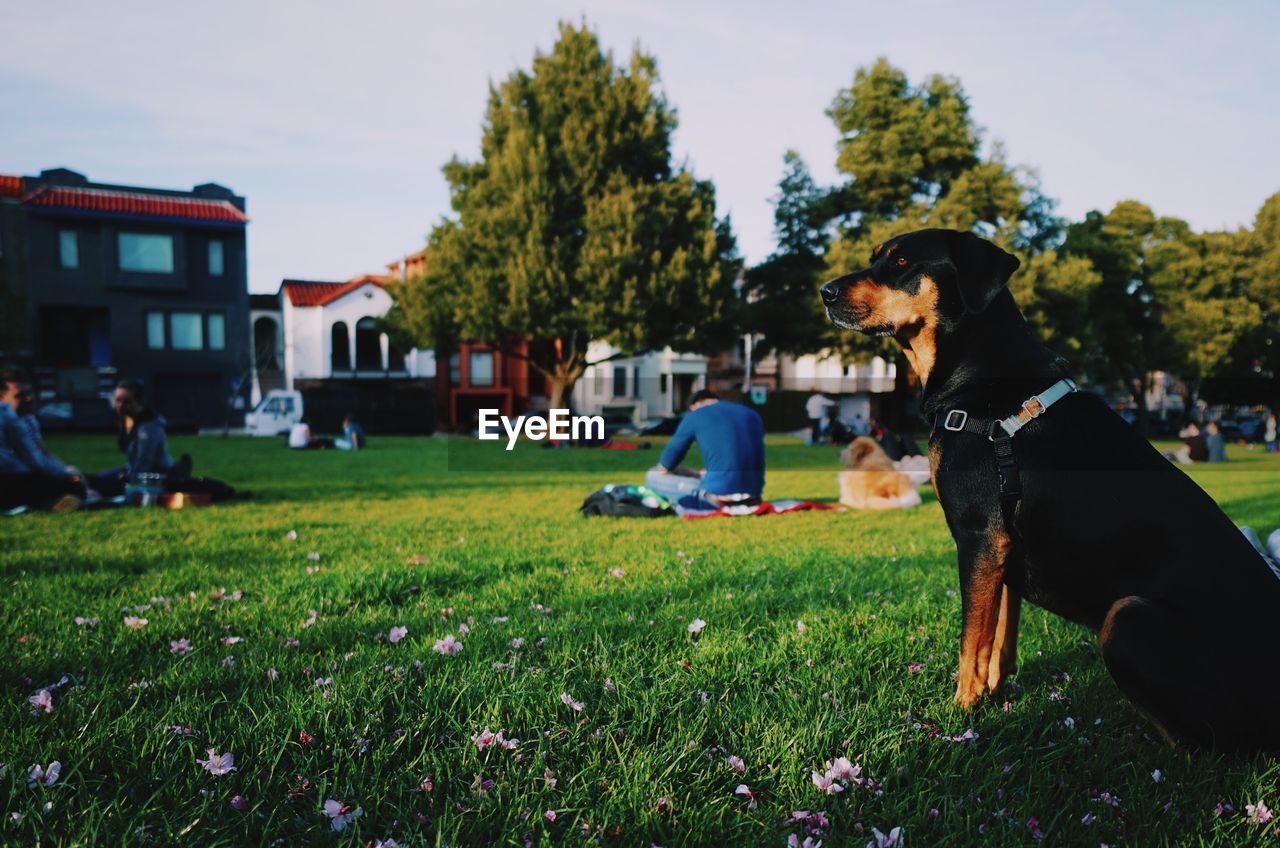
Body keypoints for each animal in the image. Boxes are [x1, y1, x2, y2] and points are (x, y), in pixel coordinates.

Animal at [819, 229, 1280, 753]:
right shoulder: (1000, 546)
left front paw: (960, 711)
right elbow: (999, 635)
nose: (825, 292)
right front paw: (994, 696)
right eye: (875, 256)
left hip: (1126, 618)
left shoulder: (979, 536)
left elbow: (971, 642)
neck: (982, 379)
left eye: (900, 262)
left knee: (1202, 745)